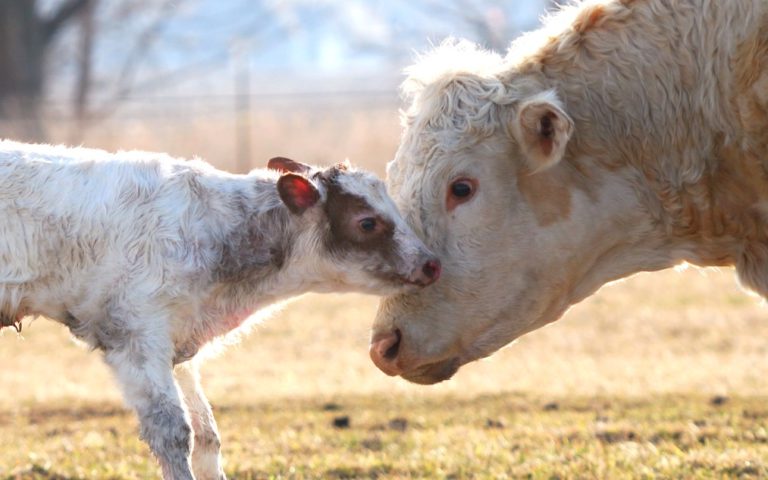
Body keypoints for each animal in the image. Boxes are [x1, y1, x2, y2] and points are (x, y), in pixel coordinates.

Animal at [0, 141, 440, 479]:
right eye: (367, 223)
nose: (431, 264)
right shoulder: (136, 339)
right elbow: (172, 432)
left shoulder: (179, 342)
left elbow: (207, 434)